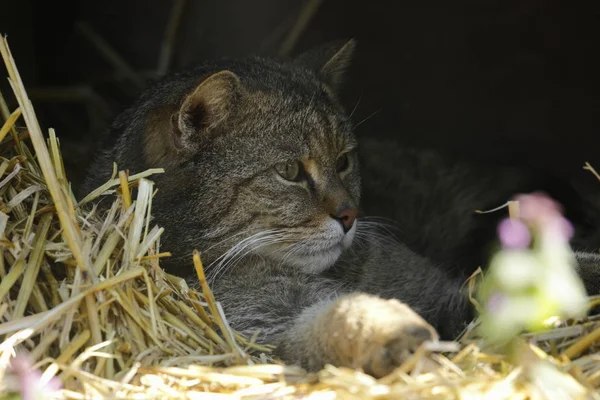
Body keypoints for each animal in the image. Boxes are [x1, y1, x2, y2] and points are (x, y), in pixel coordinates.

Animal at [79, 39, 600, 376]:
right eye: (290, 171)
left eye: (345, 161)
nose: (349, 215)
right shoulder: (259, 327)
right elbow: (326, 324)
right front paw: (384, 332)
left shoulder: (446, 289)